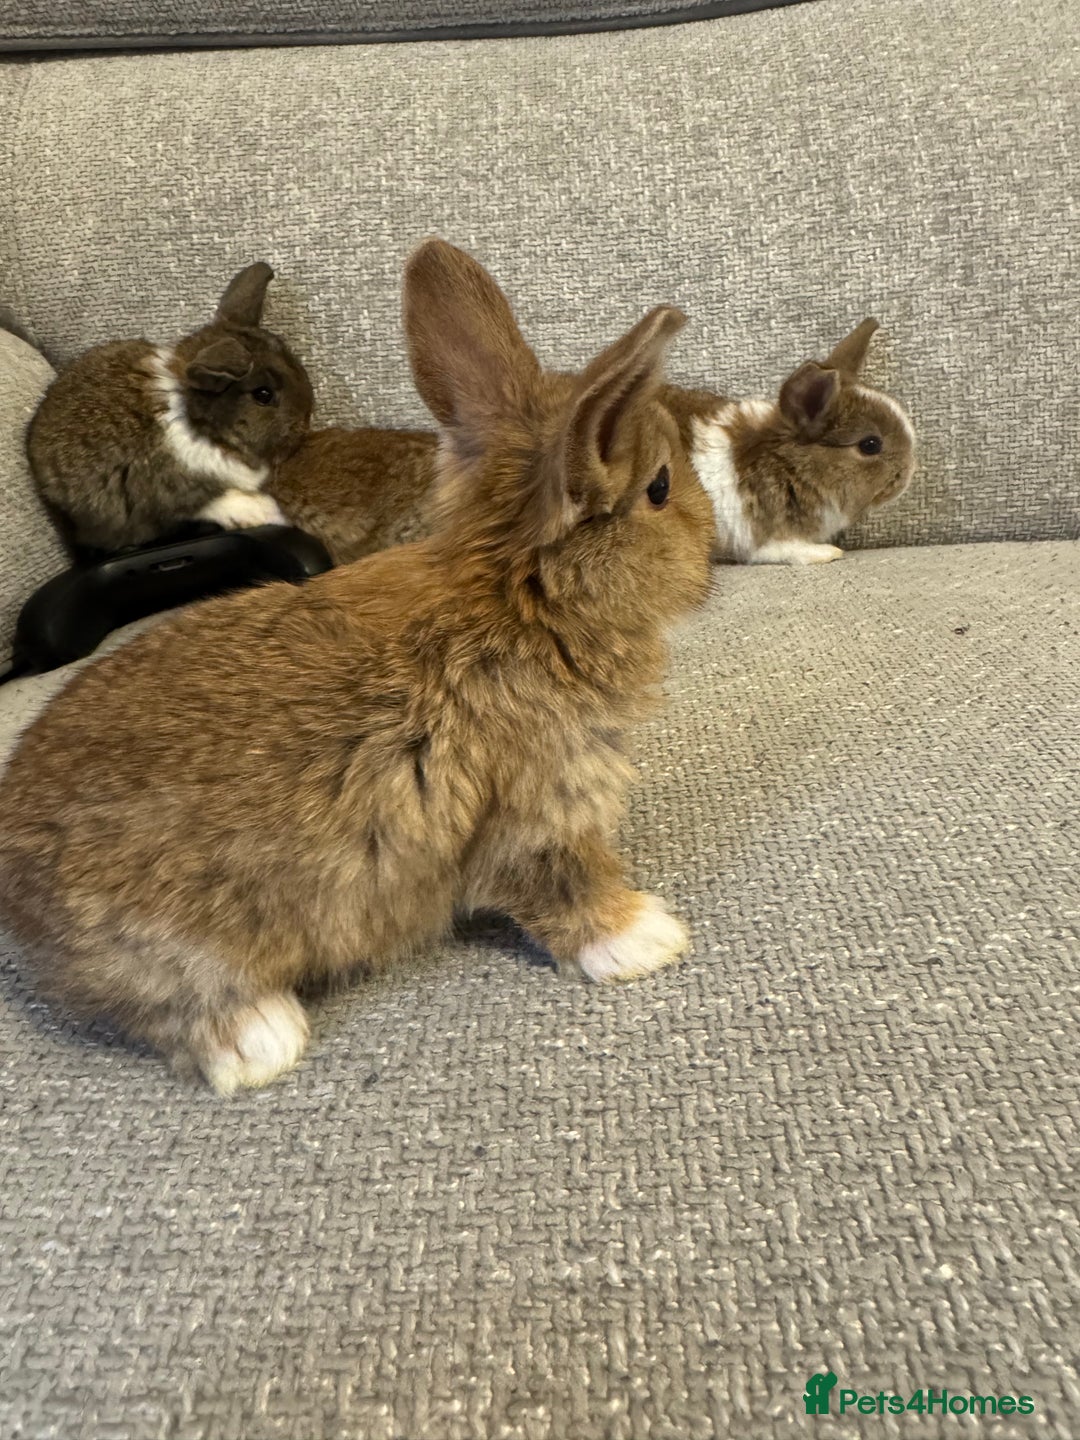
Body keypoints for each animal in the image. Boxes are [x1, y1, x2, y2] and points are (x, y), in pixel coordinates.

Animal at [26, 262, 314, 554]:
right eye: (263, 395)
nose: (305, 422)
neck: (199, 423)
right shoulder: (168, 495)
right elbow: (212, 502)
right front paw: (265, 511)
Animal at [267, 319, 912, 569]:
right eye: (870, 444)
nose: (909, 475)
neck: (782, 457)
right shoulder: (757, 535)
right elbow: (786, 550)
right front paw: (827, 554)